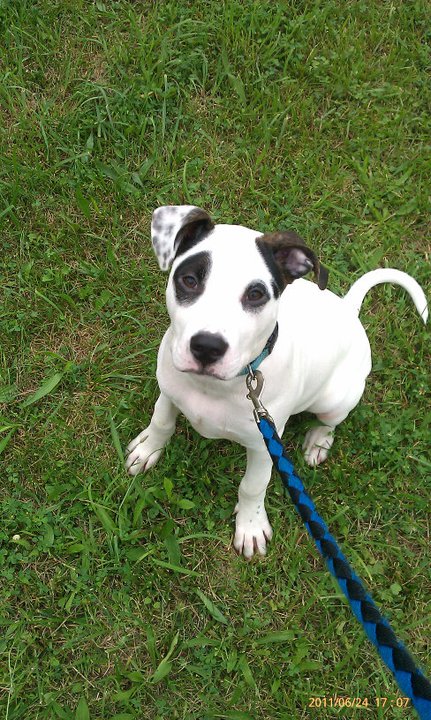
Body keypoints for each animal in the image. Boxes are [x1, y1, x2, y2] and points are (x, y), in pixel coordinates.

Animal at [125, 205, 428, 560]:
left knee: (331, 421)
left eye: (256, 294)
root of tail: (348, 311)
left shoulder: (263, 444)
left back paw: (318, 441)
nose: (207, 347)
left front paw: (250, 525)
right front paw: (148, 448)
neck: (219, 387)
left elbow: (252, 486)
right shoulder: (169, 388)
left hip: (334, 398)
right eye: (189, 280)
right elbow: (161, 421)